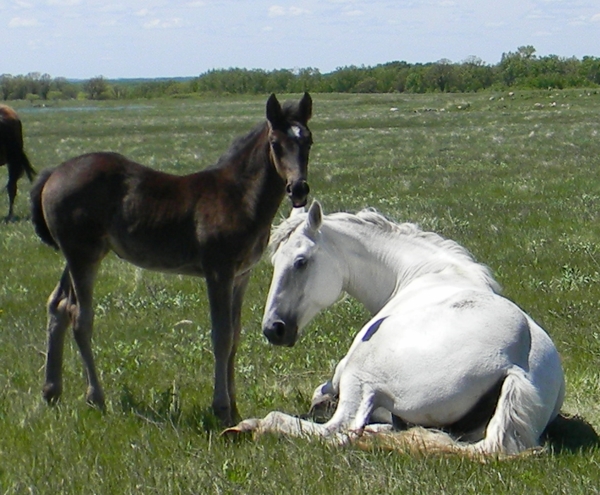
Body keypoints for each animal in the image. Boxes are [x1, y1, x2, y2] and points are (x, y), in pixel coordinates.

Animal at [30, 93, 313, 426]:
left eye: (308, 141)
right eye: (275, 143)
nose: (299, 189)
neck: (239, 195)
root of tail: (53, 173)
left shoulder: (241, 275)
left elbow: (235, 336)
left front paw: (235, 409)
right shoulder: (218, 271)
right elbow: (221, 336)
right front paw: (221, 409)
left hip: (81, 254)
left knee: (57, 305)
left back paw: (51, 391)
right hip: (82, 254)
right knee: (79, 316)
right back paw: (95, 398)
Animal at [226, 201, 565, 454]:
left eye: (301, 261)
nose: (273, 329)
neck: (425, 271)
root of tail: (515, 364)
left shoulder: (345, 377)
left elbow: (322, 397)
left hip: (359, 378)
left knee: (337, 431)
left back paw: (252, 426)